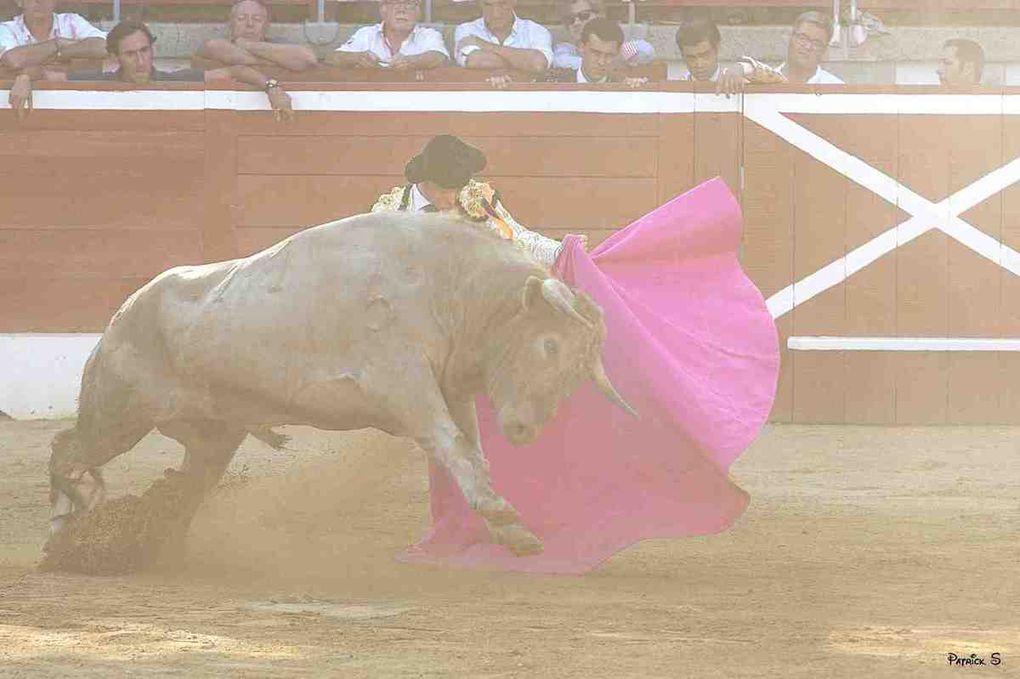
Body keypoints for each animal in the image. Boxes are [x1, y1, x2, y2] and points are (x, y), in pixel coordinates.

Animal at [53, 212, 636, 554]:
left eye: (578, 373)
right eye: (550, 345)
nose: (523, 429)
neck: (454, 286)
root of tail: (123, 312)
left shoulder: (449, 390)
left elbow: (470, 450)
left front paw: (505, 526)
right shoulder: (402, 383)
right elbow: (452, 444)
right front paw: (503, 516)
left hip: (212, 432)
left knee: (186, 478)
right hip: (120, 413)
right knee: (69, 447)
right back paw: (62, 532)